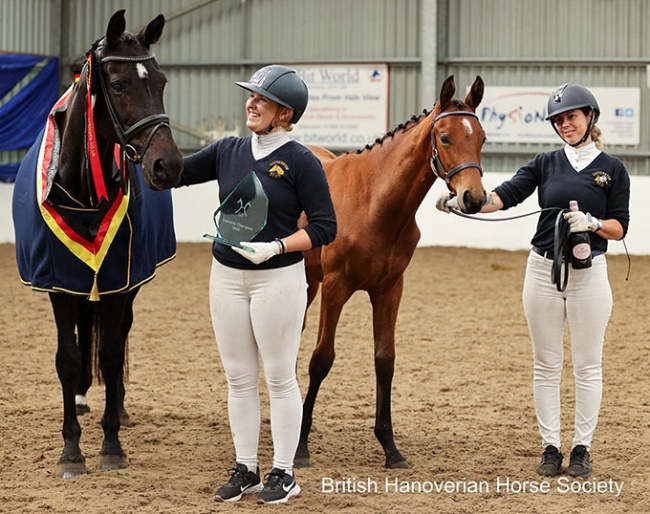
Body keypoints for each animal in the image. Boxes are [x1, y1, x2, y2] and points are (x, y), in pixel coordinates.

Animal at [11, 10, 182, 476]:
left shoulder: (120, 281)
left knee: (116, 336)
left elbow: (109, 352)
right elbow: (68, 358)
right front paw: (71, 449)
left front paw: (111, 445)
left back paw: (116, 405)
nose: (169, 165)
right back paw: (85, 397)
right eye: (119, 85)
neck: (81, 193)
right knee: (86, 329)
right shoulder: (58, 282)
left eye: (161, 82)